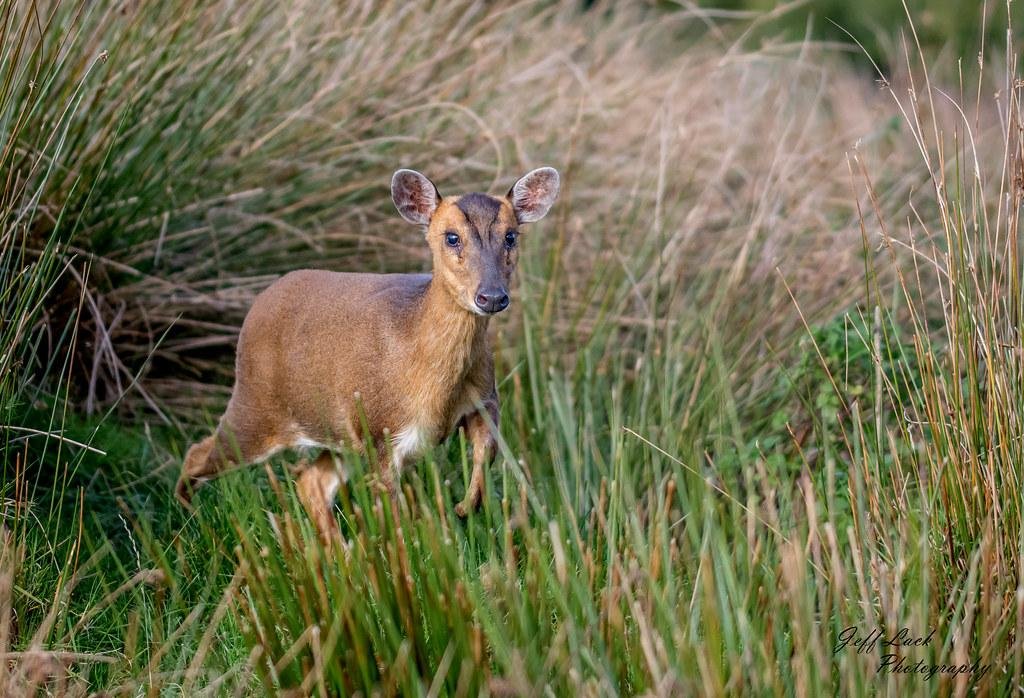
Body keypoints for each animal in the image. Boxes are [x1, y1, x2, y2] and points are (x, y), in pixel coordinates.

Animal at [176, 165, 561, 540]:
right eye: (451, 236)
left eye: (511, 236)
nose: (491, 296)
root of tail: (259, 302)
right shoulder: (379, 429)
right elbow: (395, 520)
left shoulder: (485, 397)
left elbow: (487, 453)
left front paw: (464, 507)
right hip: (256, 409)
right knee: (198, 453)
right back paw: (191, 526)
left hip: (336, 431)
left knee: (311, 482)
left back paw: (339, 550)